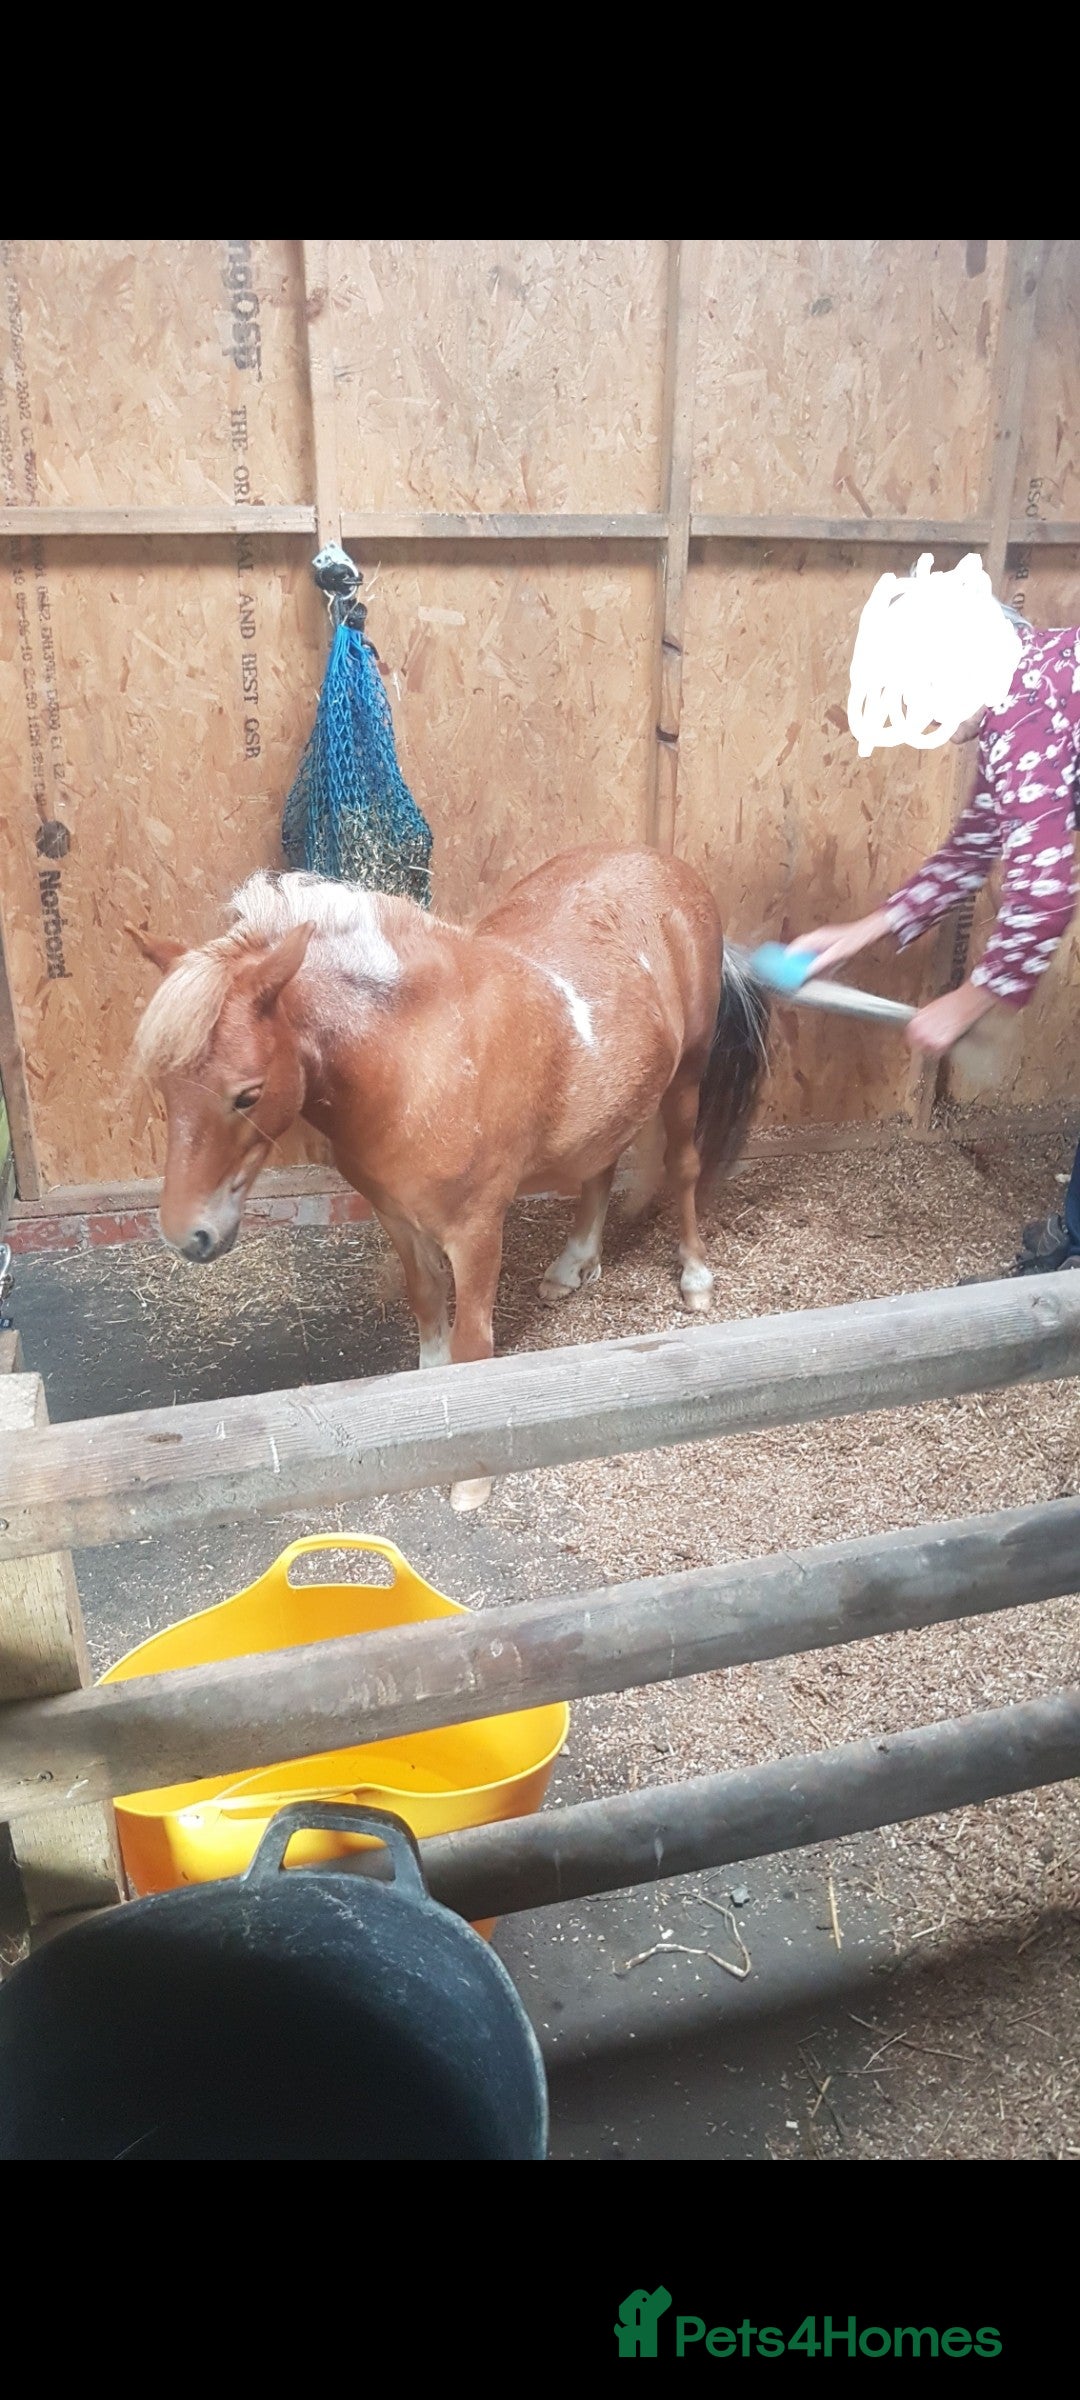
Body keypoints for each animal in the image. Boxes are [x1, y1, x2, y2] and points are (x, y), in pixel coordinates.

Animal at [128, 845, 770, 1510]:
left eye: (248, 1094)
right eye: (165, 1085)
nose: (188, 1236)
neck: (416, 1059)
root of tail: (661, 865)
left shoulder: (476, 1231)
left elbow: (472, 1345)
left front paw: (470, 1480)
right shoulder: (397, 1217)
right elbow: (428, 1309)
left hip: (688, 1075)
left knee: (684, 1169)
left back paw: (695, 1277)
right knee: (600, 1165)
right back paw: (572, 1267)